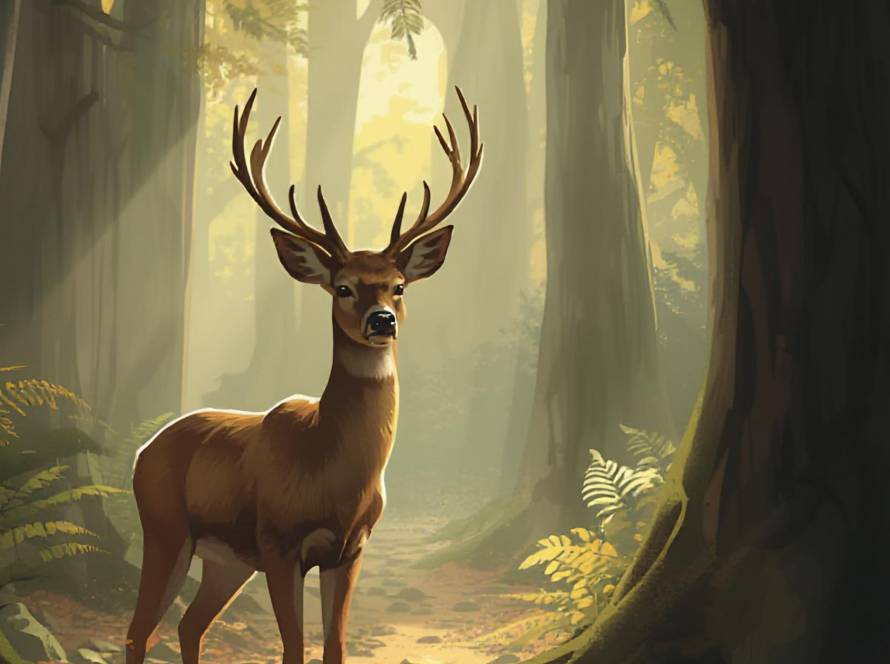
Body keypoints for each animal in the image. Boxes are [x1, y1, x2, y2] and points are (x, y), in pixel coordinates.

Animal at [124, 86, 482, 664]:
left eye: (399, 285)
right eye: (342, 287)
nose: (381, 320)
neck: (332, 474)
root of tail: (141, 452)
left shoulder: (352, 549)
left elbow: (335, 645)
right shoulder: (279, 542)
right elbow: (293, 647)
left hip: (227, 560)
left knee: (189, 625)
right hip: (165, 528)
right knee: (139, 629)